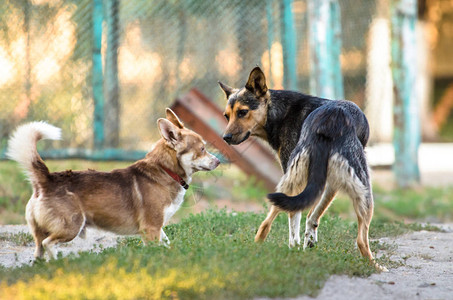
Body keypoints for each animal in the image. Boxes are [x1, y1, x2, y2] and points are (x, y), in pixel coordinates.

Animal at [7, 109, 219, 258]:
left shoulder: (158, 229)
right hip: (71, 227)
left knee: (39, 252)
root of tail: (46, 179)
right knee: (48, 244)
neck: (165, 170)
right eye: (202, 149)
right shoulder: (151, 229)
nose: (218, 161)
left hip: (40, 235)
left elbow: (166, 243)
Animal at [219, 67, 384, 270]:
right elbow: (312, 214)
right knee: (361, 239)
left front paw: (303, 245)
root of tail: (331, 120)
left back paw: (263, 247)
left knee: (270, 221)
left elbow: (304, 217)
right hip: (362, 192)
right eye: (227, 116)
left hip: (289, 182)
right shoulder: (327, 183)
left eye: (242, 112)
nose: (225, 138)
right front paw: (307, 243)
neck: (279, 114)